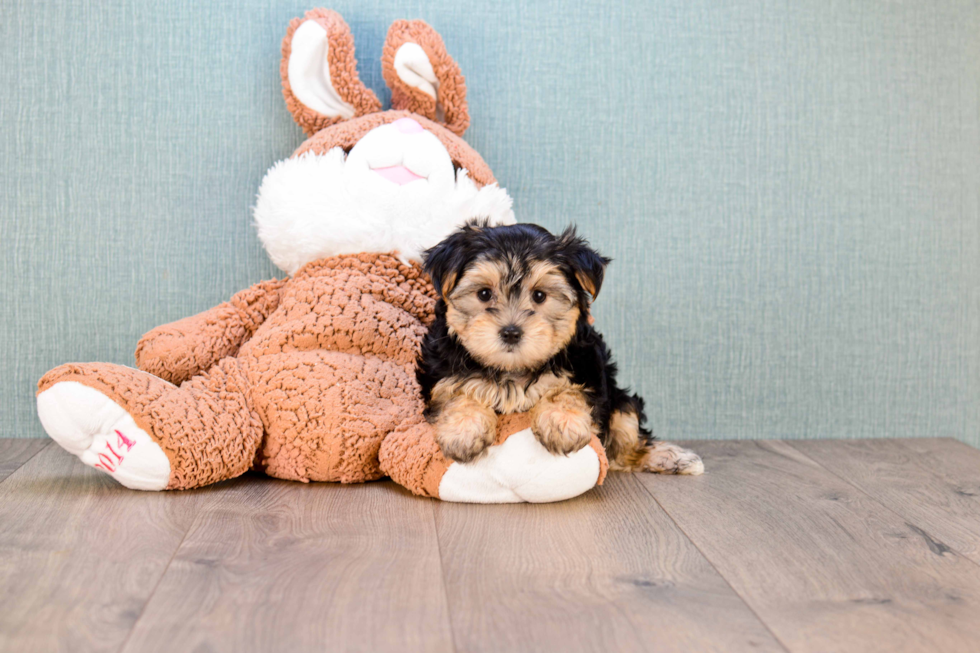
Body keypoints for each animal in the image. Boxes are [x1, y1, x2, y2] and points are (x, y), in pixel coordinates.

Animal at [416, 220, 704, 474]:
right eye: (484, 294)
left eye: (539, 296)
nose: (511, 332)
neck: (512, 369)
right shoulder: (441, 372)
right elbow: (456, 393)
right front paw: (464, 430)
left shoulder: (587, 368)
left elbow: (567, 390)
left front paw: (563, 422)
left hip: (622, 402)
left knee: (624, 445)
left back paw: (671, 458)